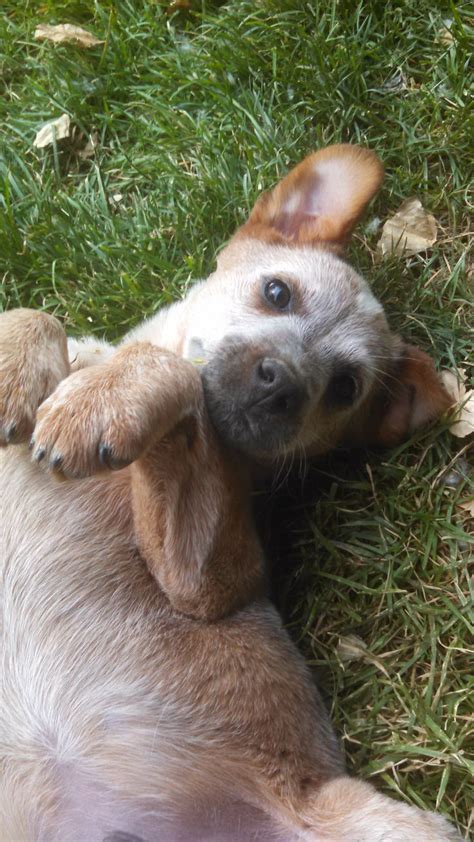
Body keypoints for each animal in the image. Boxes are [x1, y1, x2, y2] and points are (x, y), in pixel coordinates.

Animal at [0, 148, 456, 836]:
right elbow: (37, 314)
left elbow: (183, 382)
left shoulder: (211, 583)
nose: (282, 385)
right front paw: (18, 373)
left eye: (345, 387)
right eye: (277, 291)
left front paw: (101, 401)